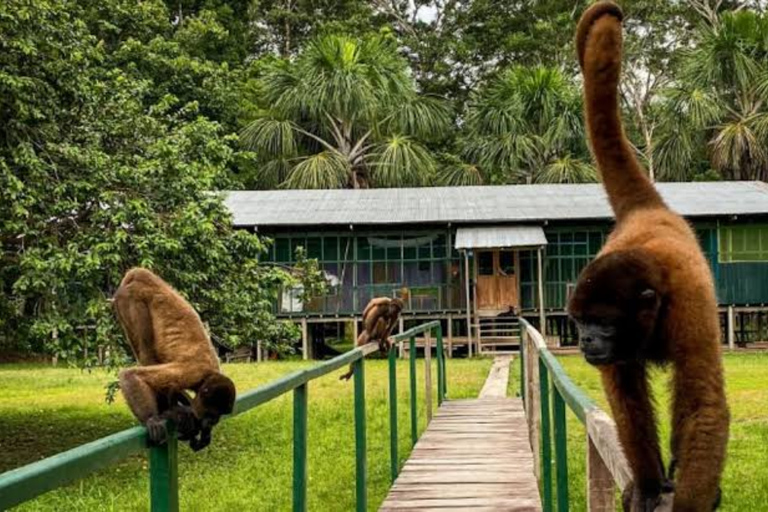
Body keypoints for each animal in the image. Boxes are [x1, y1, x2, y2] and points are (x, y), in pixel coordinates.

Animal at [113, 267, 236, 451]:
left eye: (221, 414)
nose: (214, 422)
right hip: (131, 299)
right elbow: (132, 375)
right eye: (213, 413)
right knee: (146, 354)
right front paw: (155, 418)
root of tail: (144, 276)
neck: (209, 374)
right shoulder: (193, 372)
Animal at [567, 3, 729, 511]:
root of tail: (647, 209)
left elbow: (701, 403)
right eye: (580, 322)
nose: (585, 341)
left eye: (602, 323)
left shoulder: (690, 305)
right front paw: (648, 484)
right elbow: (628, 399)